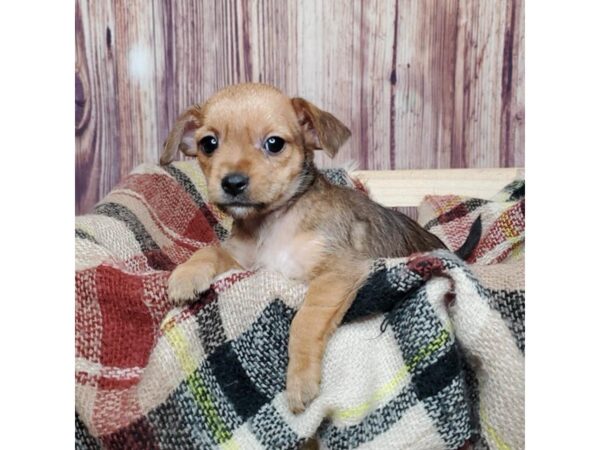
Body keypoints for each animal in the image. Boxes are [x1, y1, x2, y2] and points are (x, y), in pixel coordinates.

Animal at [159, 82, 474, 414]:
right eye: (208, 143)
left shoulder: (337, 273)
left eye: (274, 144)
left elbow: (305, 321)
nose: (232, 183)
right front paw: (186, 276)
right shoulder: (243, 261)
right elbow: (209, 250)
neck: (272, 225)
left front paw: (299, 380)